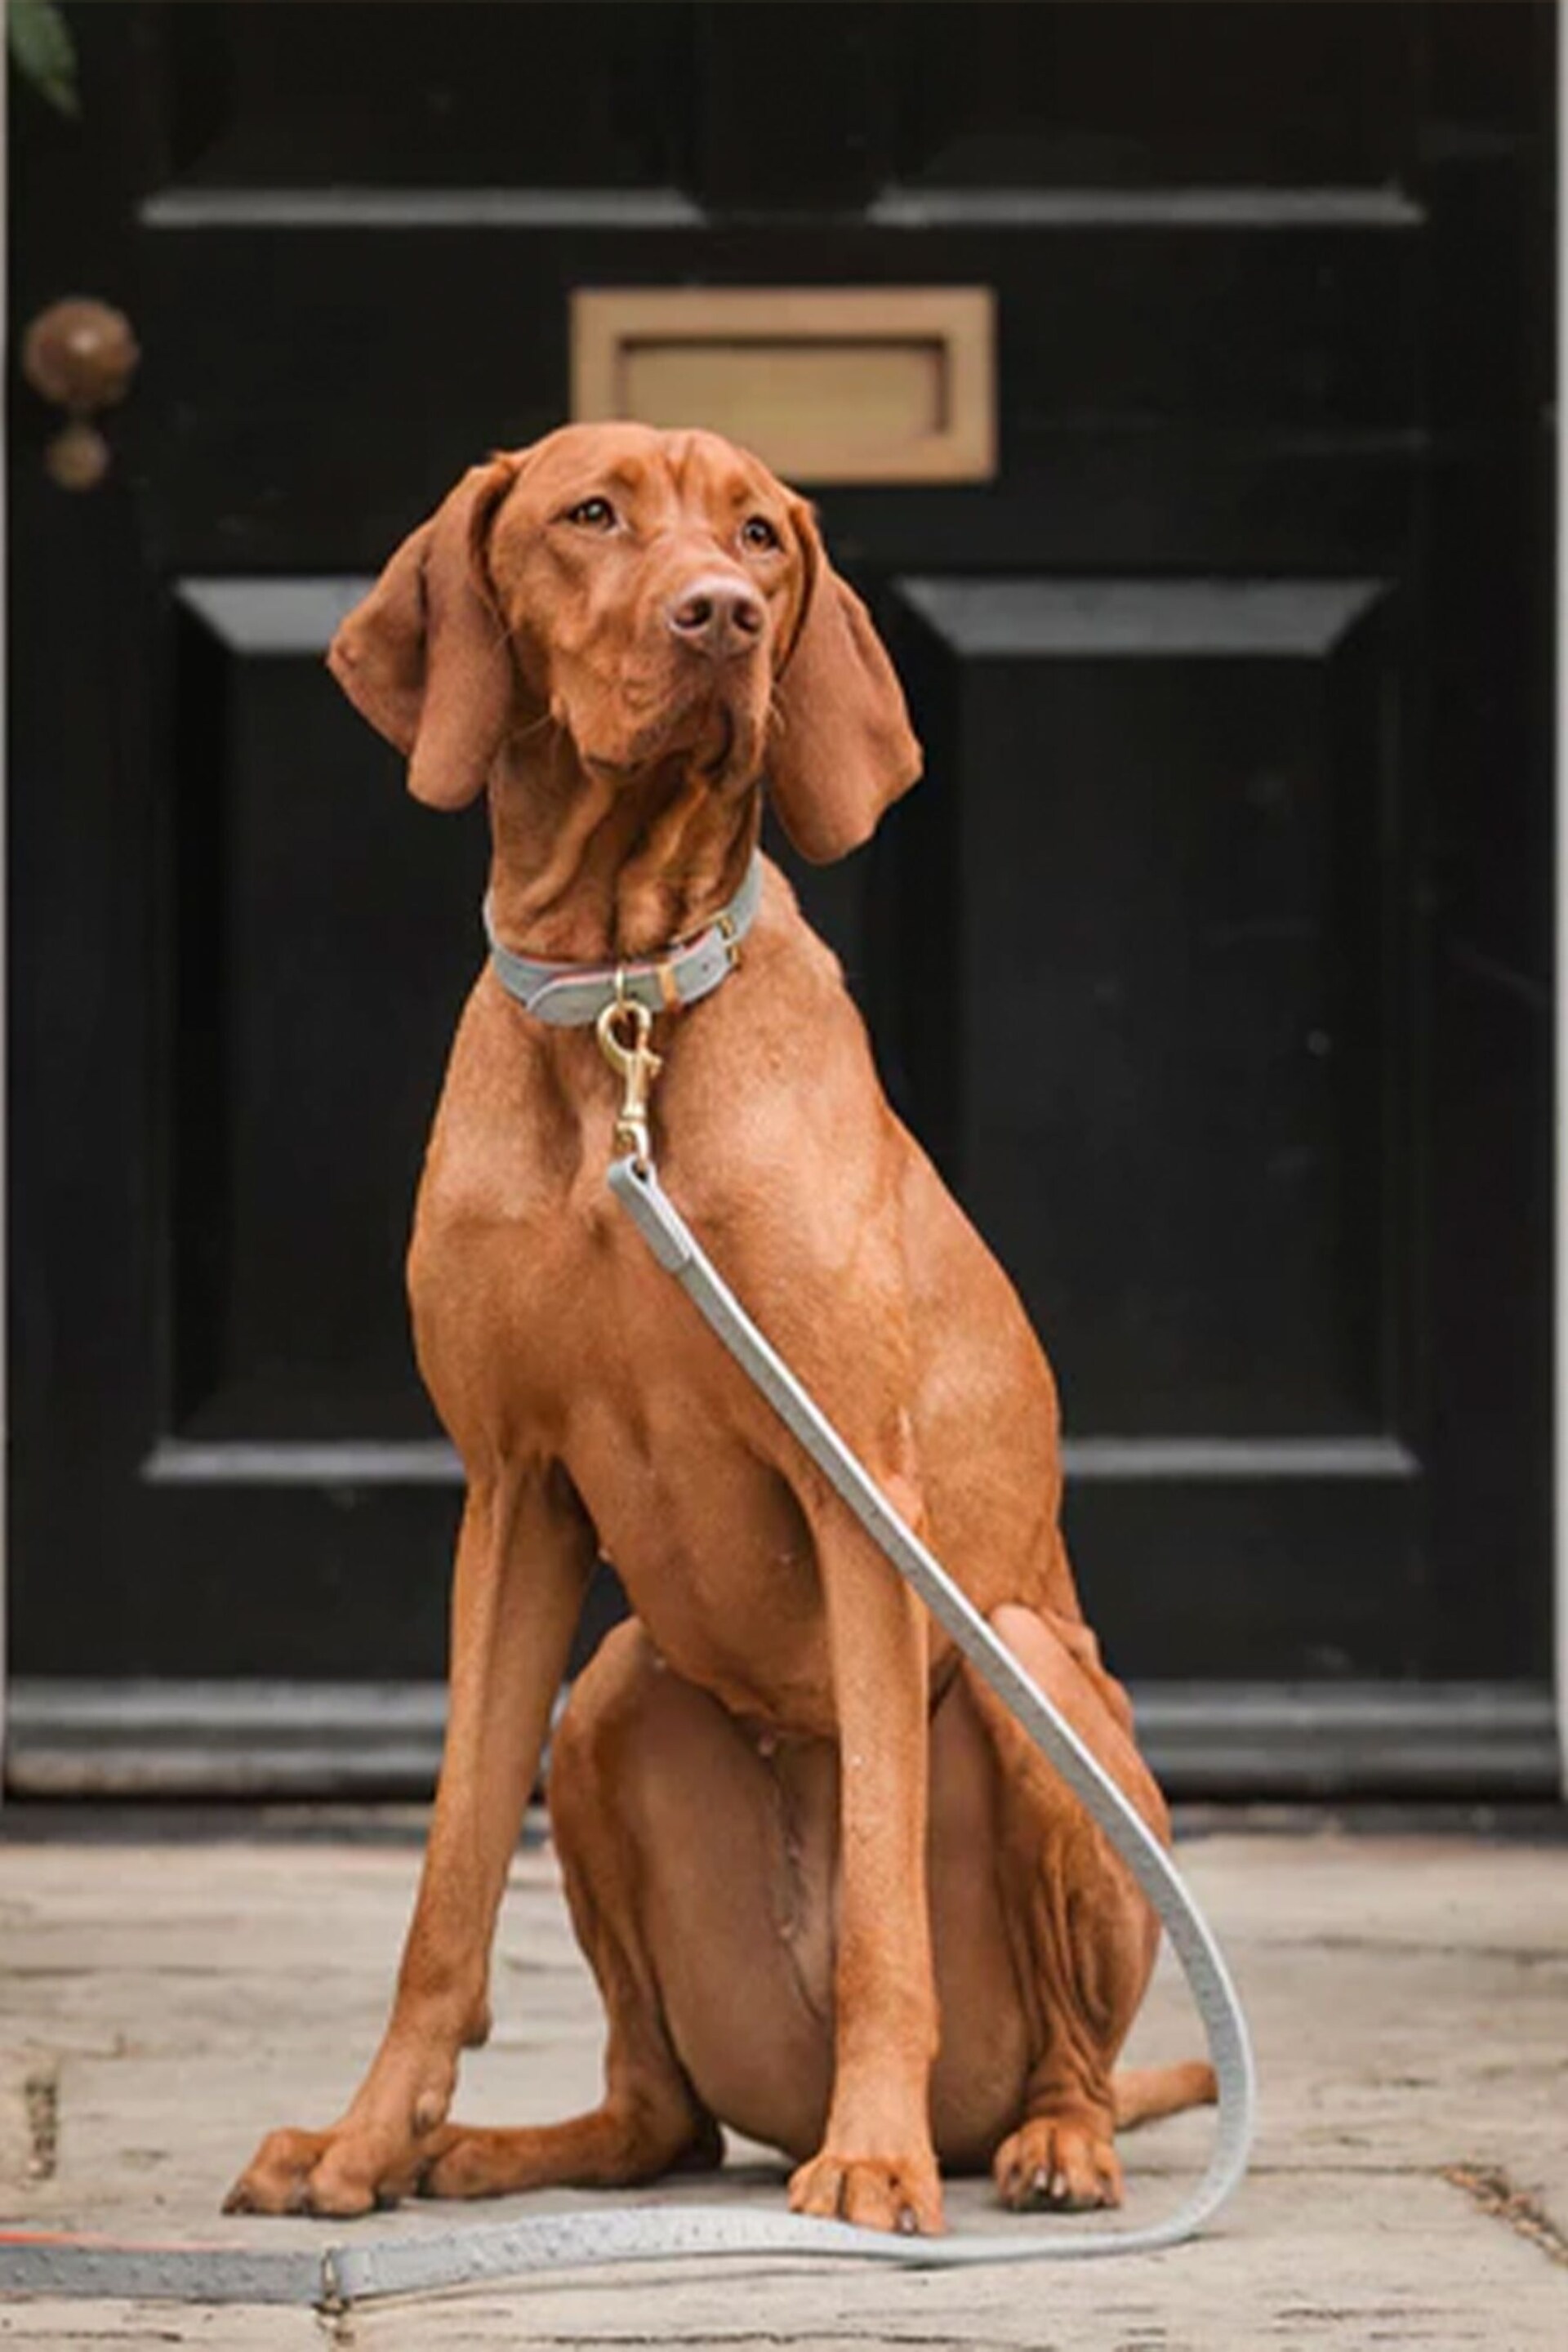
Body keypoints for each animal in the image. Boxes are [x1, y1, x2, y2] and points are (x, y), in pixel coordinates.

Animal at [226, 428, 1213, 2238]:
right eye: (590, 513)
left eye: (761, 533)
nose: (725, 618)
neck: (623, 1007)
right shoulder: (510, 1493)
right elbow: (447, 1886)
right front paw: (361, 2143)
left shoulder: (857, 1496)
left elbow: (889, 1901)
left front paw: (875, 2161)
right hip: (611, 1701)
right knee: (662, 2116)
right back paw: (502, 2149)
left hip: (1025, 1668)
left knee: (1072, 2051)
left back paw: (1037, 2143)